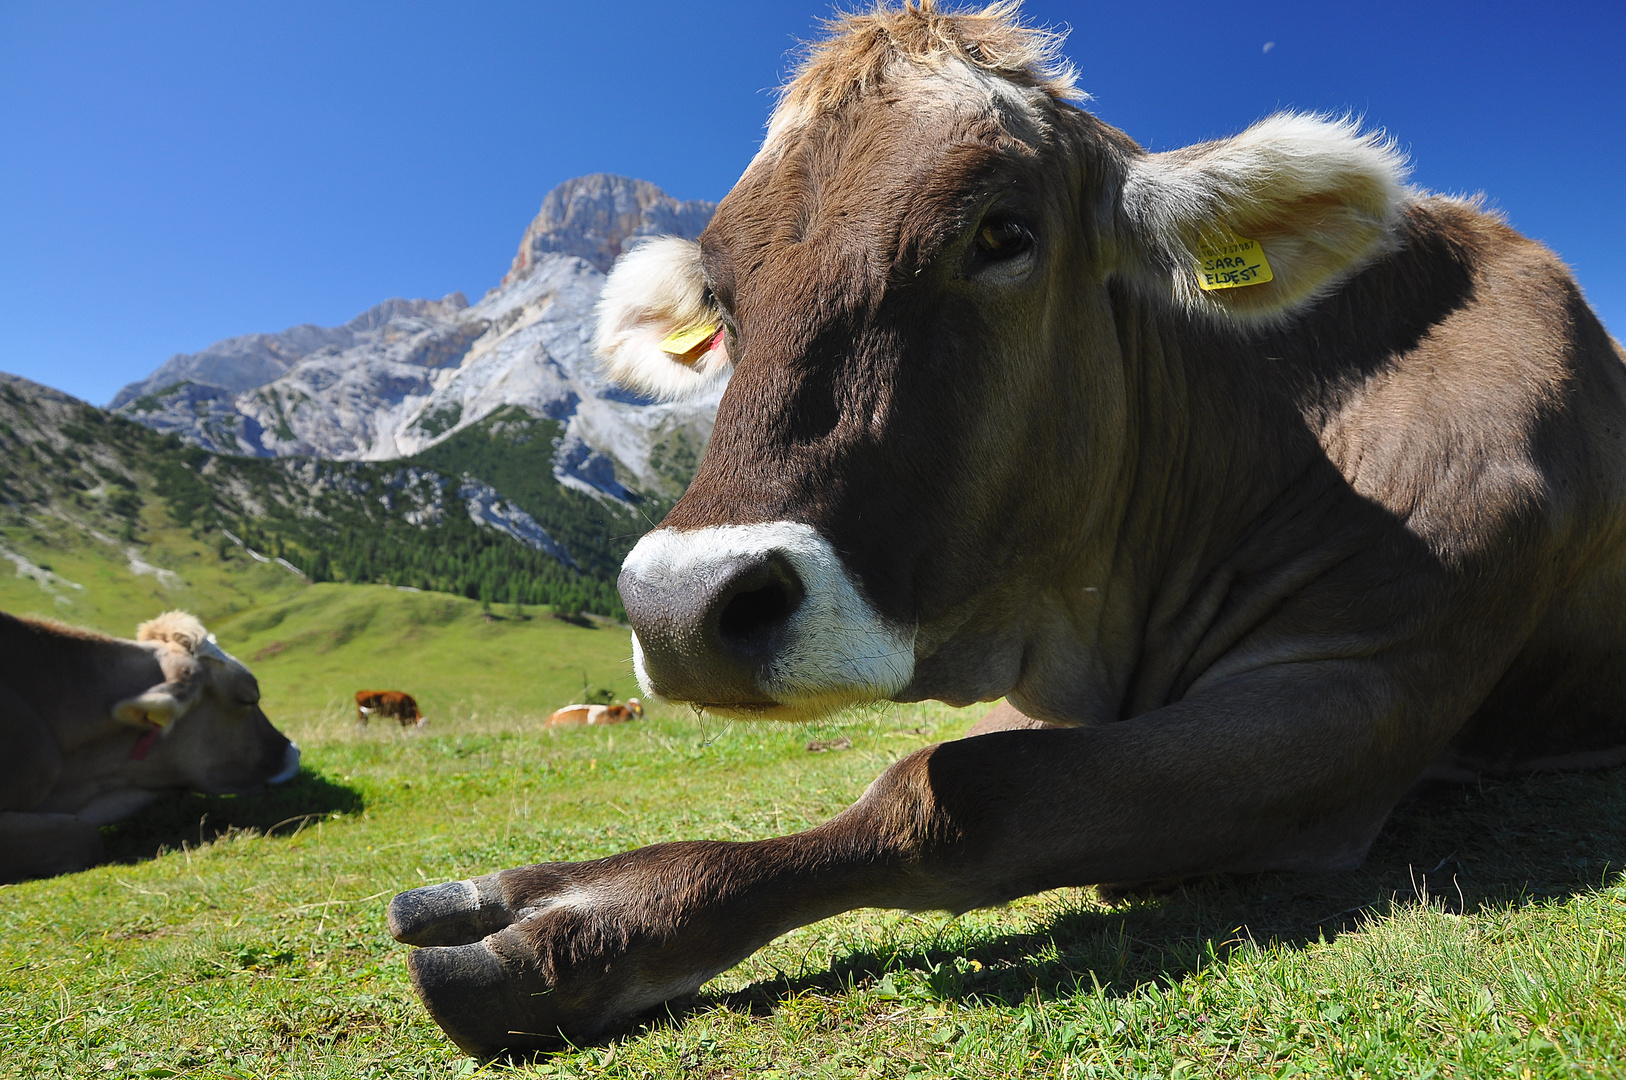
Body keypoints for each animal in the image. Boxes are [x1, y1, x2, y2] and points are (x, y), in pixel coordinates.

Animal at [386, 0, 1626, 1053]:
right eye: (720, 298)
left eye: (1001, 233)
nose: (682, 608)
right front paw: (545, 891)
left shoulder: (1367, 684)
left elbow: (956, 790)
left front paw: (581, 935)